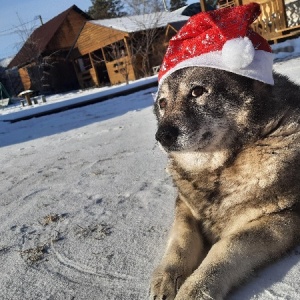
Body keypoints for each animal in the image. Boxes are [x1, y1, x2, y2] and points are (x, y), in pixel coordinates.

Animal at [150, 67, 300, 298]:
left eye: (197, 91)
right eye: (163, 103)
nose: (162, 135)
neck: (220, 168)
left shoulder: (283, 219)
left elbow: (227, 247)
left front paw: (196, 289)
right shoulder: (185, 204)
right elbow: (182, 238)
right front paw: (167, 276)